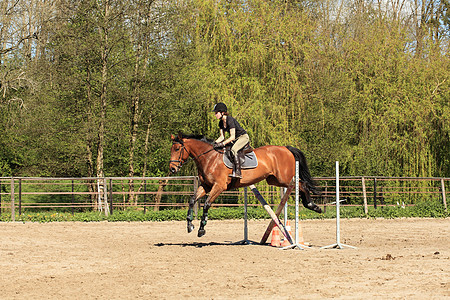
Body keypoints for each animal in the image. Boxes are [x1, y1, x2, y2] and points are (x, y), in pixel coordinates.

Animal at [170, 133, 324, 237]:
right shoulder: (206, 186)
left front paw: (201, 229)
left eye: (177, 149)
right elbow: (192, 200)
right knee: (301, 185)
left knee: (302, 184)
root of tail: (285, 148)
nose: (172, 169)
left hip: (285, 178)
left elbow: (207, 204)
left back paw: (313, 206)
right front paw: (190, 225)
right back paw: (311, 205)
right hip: (274, 180)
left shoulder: (219, 186)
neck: (209, 158)